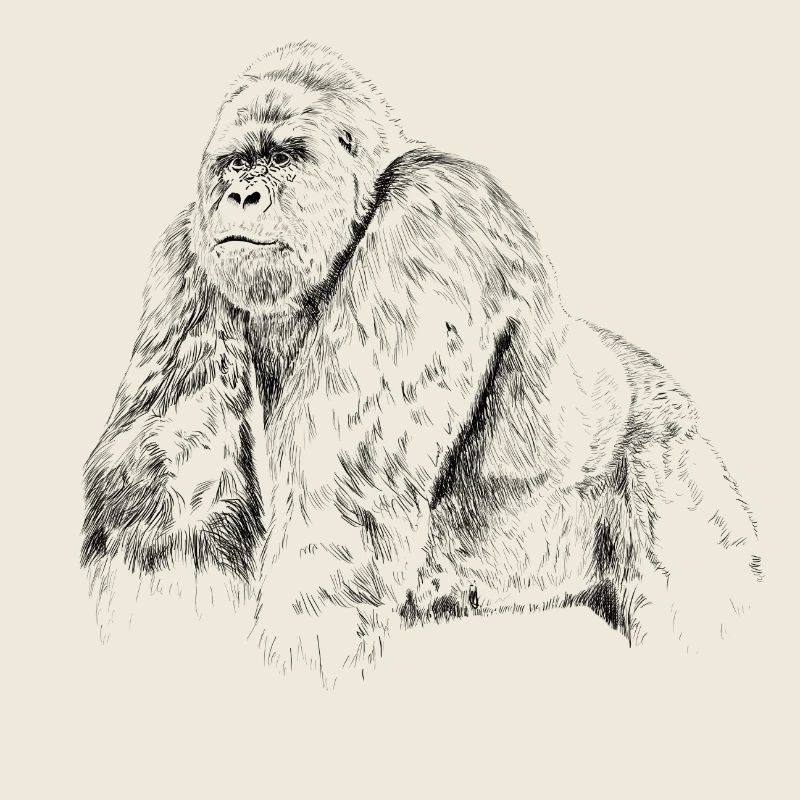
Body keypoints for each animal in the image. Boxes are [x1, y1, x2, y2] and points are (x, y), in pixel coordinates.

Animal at [81, 42, 762, 682]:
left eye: (283, 158)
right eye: (237, 161)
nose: (242, 194)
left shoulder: (429, 221)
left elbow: (339, 505)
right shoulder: (183, 252)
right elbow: (170, 493)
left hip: (672, 460)